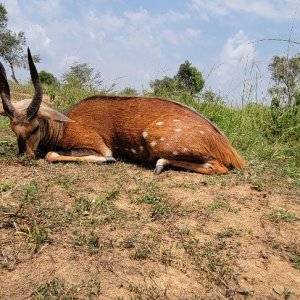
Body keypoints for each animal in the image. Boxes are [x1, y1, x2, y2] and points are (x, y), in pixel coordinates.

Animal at [0, 49, 245, 175]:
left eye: (34, 127)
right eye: (13, 128)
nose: (24, 155)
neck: (64, 125)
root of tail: (225, 144)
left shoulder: (97, 145)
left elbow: (52, 155)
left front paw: (108, 160)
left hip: (156, 139)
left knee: (218, 167)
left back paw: (160, 164)